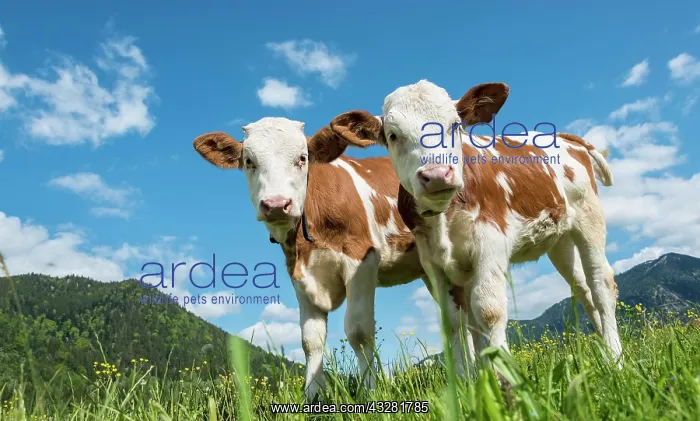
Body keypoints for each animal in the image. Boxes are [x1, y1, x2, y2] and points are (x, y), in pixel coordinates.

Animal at [192, 117, 478, 399]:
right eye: (249, 161)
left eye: (302, 158)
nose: (276, 204)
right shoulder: (299, 276)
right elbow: (310, 341)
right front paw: (313, 397)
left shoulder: (362, 259)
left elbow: (359, 332)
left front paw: (369, 392)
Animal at [310, 80, 624, 370]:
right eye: (393, 135)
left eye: (455, 125)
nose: (437, 174)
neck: (444, 218)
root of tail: (567, 138)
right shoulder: (433, 263)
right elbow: (454, 322)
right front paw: (468, 381)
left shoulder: (491, 244)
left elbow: (488, 310)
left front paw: (502, 377)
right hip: (560, 240)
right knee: (582, 288)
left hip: (589, 219)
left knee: (601, 284)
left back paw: (615, 358)